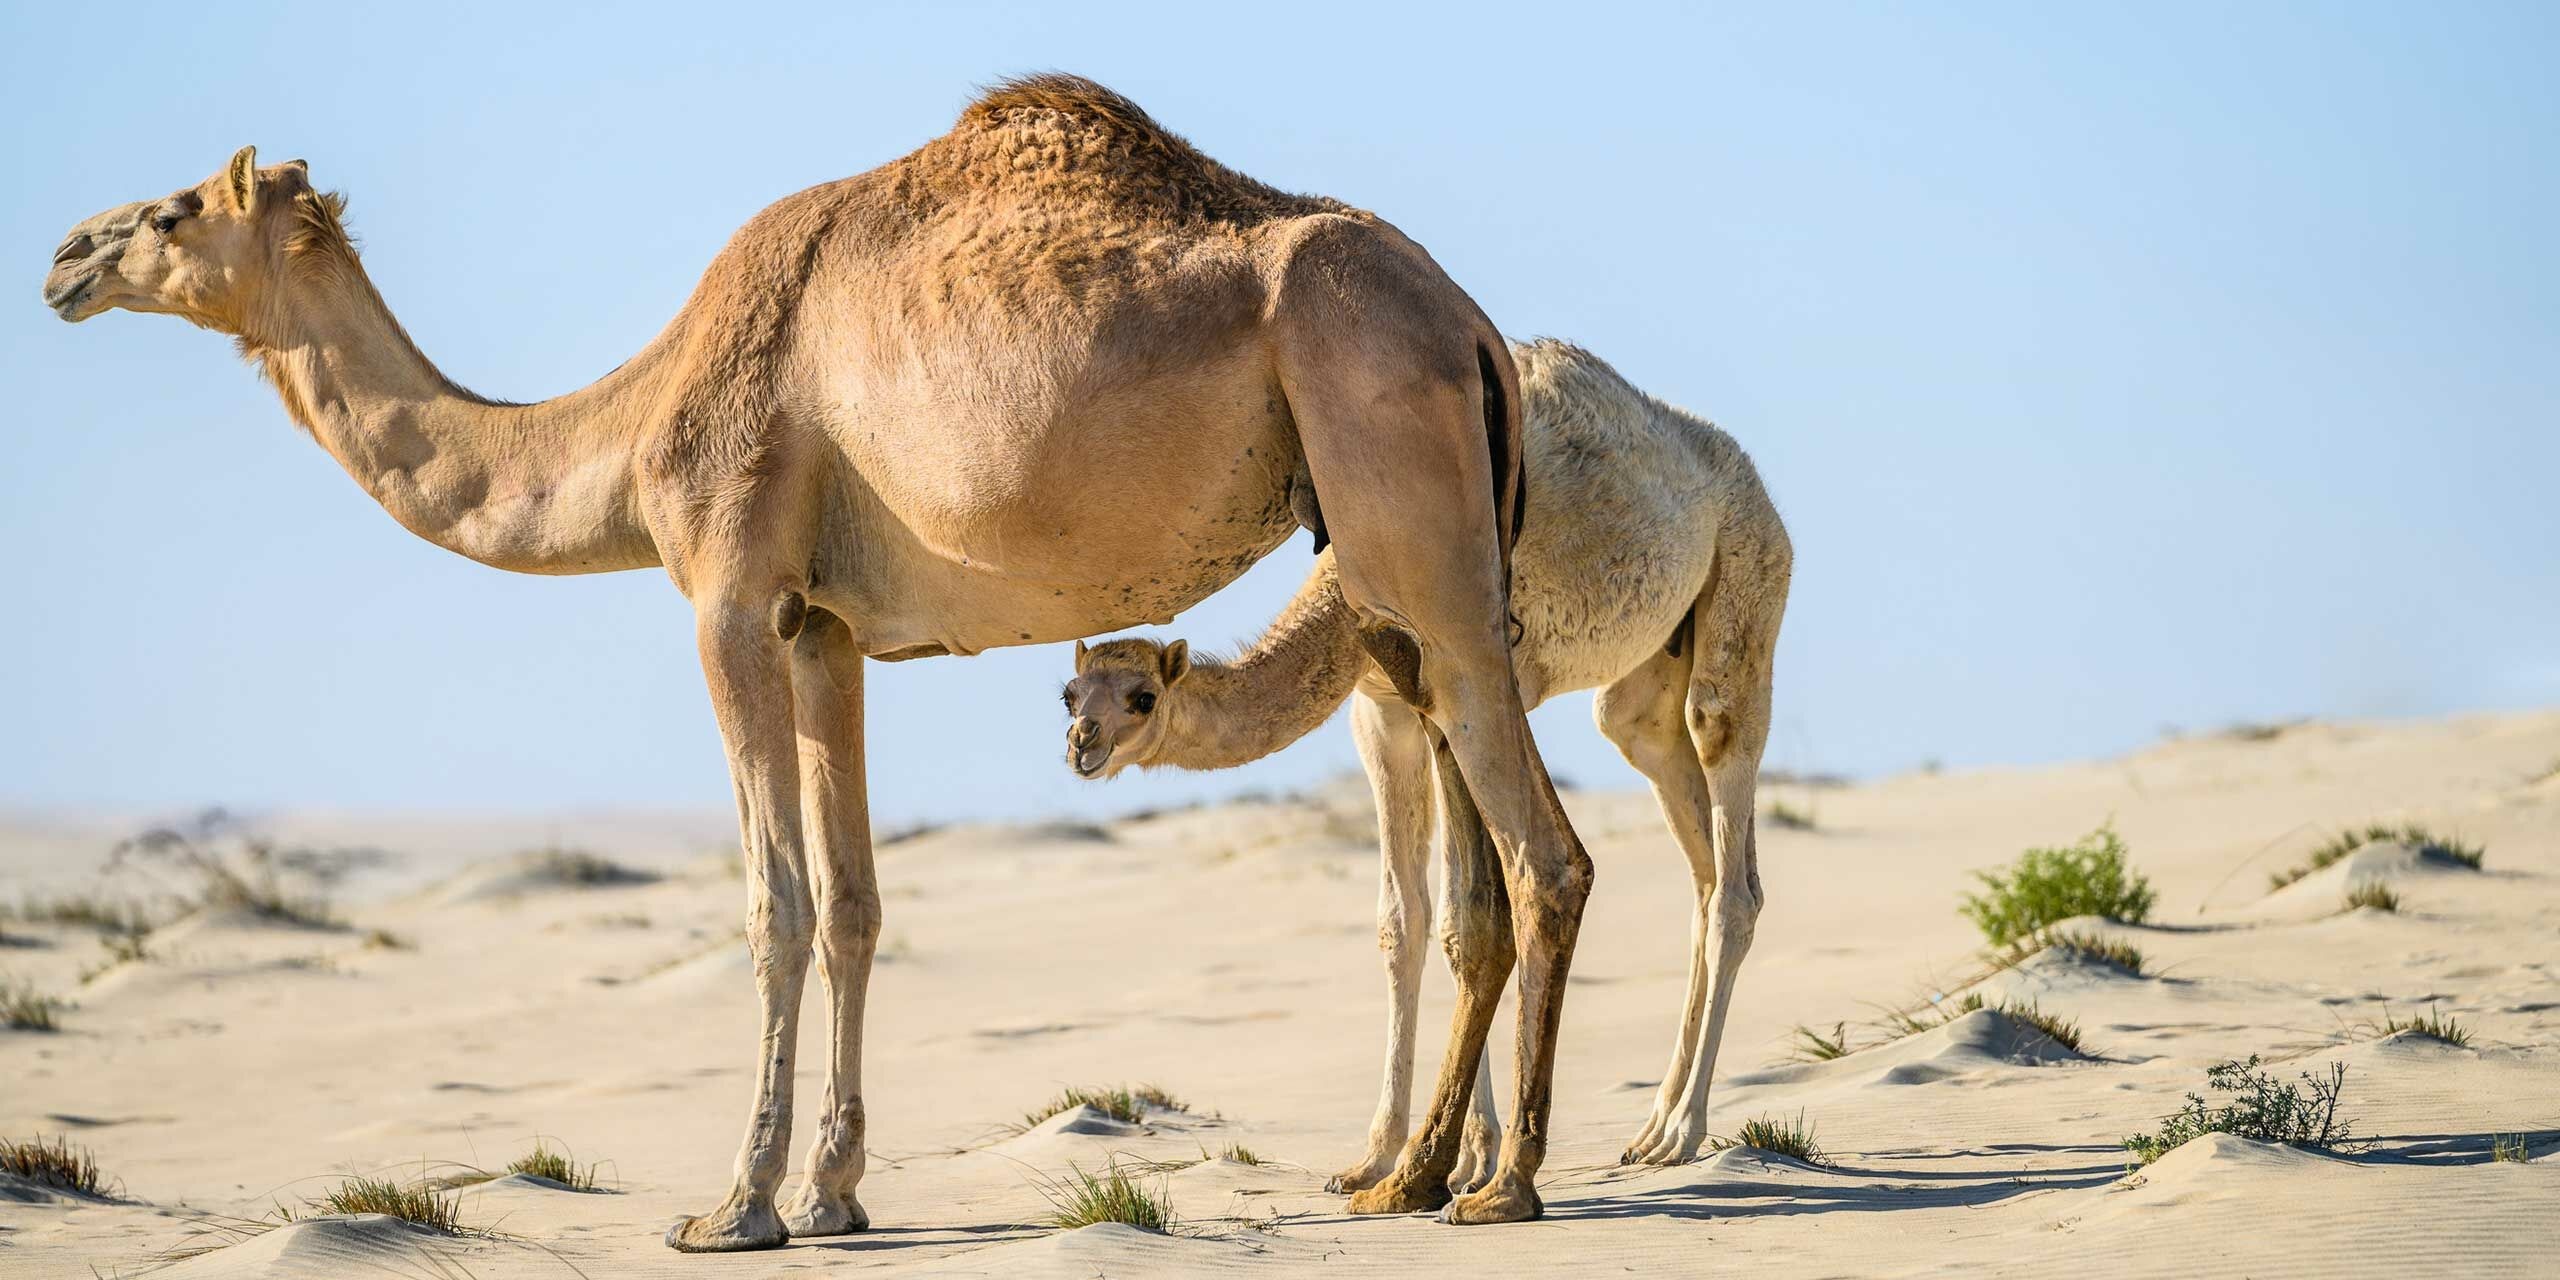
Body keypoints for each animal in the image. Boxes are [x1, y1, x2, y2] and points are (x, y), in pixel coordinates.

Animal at [40, 74, 1587, 1244]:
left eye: (172, 211)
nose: (64, 257)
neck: (636, 429)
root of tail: (1469, 325)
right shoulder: (826, 626)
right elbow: (853, 901)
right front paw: (837, 1192)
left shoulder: (728, 595)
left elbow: (772, 903)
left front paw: (734, 1206)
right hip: (1395, 570)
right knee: (1476, 859)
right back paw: (1411, 1176)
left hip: (1402, 498)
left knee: (1547, 854)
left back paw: (1502, 1188)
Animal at [1070, 337, 1792, 1177]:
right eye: (1069, 692)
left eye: (1141, 697)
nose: (1083, 743)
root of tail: (1750, 480)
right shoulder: (1380, 714)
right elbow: (1406, 919)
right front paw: (1392, 1155)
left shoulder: (1469, 694)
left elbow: (1466, 913)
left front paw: (1450, 1159)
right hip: (1645, 683)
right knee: (1691, 851)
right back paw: (1650, 1130)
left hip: (1749, 578)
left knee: (1729, 835)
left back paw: (1684, 1133)